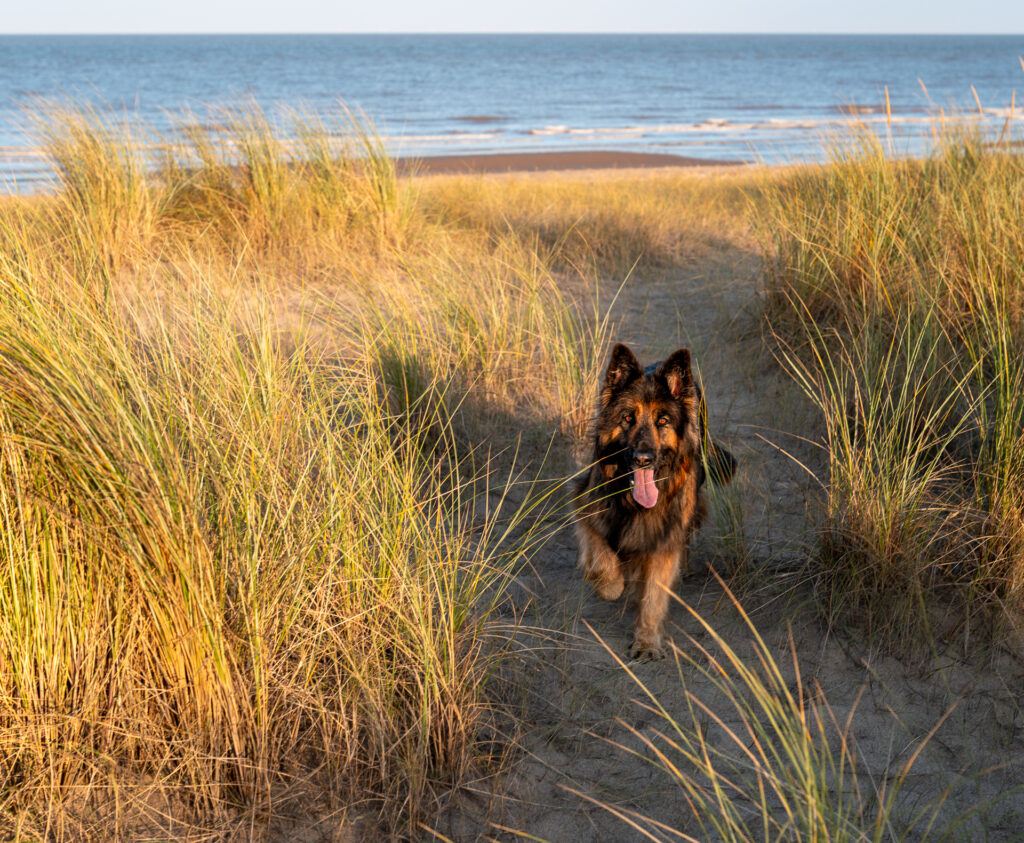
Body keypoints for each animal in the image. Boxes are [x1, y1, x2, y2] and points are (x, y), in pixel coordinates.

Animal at [573, 342, 733, 659]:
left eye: (663, 421)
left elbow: (654, 597)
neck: (633, 503)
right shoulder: (586, 510)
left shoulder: (664, 540)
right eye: (627, 418)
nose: (643, 459)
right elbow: (603, 563)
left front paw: (646, 642)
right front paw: (611, 583)